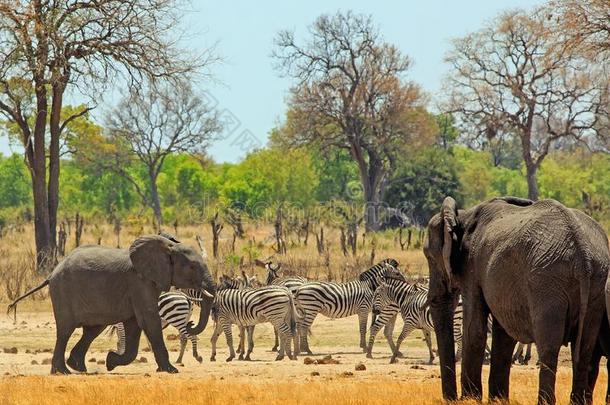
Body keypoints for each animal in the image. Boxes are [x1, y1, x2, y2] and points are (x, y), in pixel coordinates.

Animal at [6, 235, 214, 374]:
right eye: (192, 267)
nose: (190, 323)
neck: (168, 246)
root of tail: (51, 274)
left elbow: (134, 325)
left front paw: (110, 361)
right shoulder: (139, 282)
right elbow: (149, 320)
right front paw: (171, 370)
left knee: (92, 330)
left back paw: (78, 367)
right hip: (63, 292)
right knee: (65, 331)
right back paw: (62, 372)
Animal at [422, 196, 608, 404]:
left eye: (429, 257)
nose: (452, 398)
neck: (462, 216)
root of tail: (584, 253)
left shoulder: (472, 269)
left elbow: (474, 330)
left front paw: (470, 399)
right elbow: (504, 333)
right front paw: (497, 400)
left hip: (546, 283)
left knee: (549, 348)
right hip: (596, 284)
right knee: (584, 350)